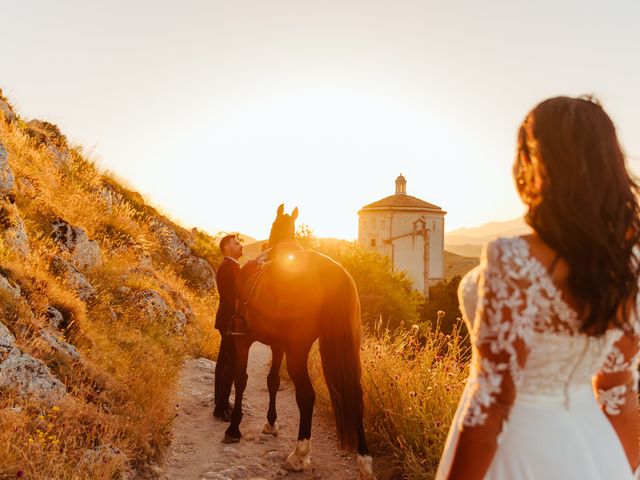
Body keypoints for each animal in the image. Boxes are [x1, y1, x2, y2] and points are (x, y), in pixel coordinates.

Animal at [222, 204, 376, 478]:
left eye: (272, 225)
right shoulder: (277, 345)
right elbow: (272, 381)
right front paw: (270, 423)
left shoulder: (245, 340)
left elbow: (241, 380)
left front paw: (234, 428)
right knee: (356, 397)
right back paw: (365, 462)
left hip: (297, 351)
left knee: (306, 395)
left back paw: (299, 455)